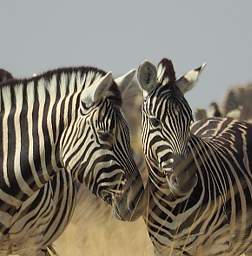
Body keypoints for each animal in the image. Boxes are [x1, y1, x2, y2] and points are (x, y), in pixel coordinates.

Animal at [136, 58, 252, 256]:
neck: (173, 204)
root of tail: (226, 119)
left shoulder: (218, 246)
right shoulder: (162, 249)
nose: (185, 181)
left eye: (189, 120)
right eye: (154, 121)